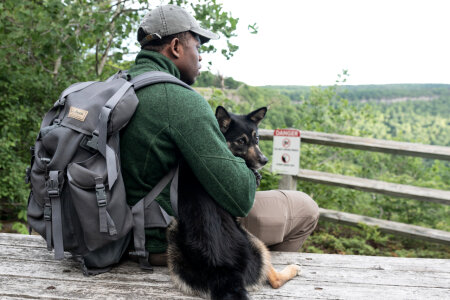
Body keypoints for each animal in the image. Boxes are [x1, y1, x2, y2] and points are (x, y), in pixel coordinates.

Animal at [167, 107, 300, 300]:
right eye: (241, 141)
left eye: (256, 138)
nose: (264, 160)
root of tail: (223, 270)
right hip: (255, 242)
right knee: (274, 280)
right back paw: (293, 269)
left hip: (174, 236)